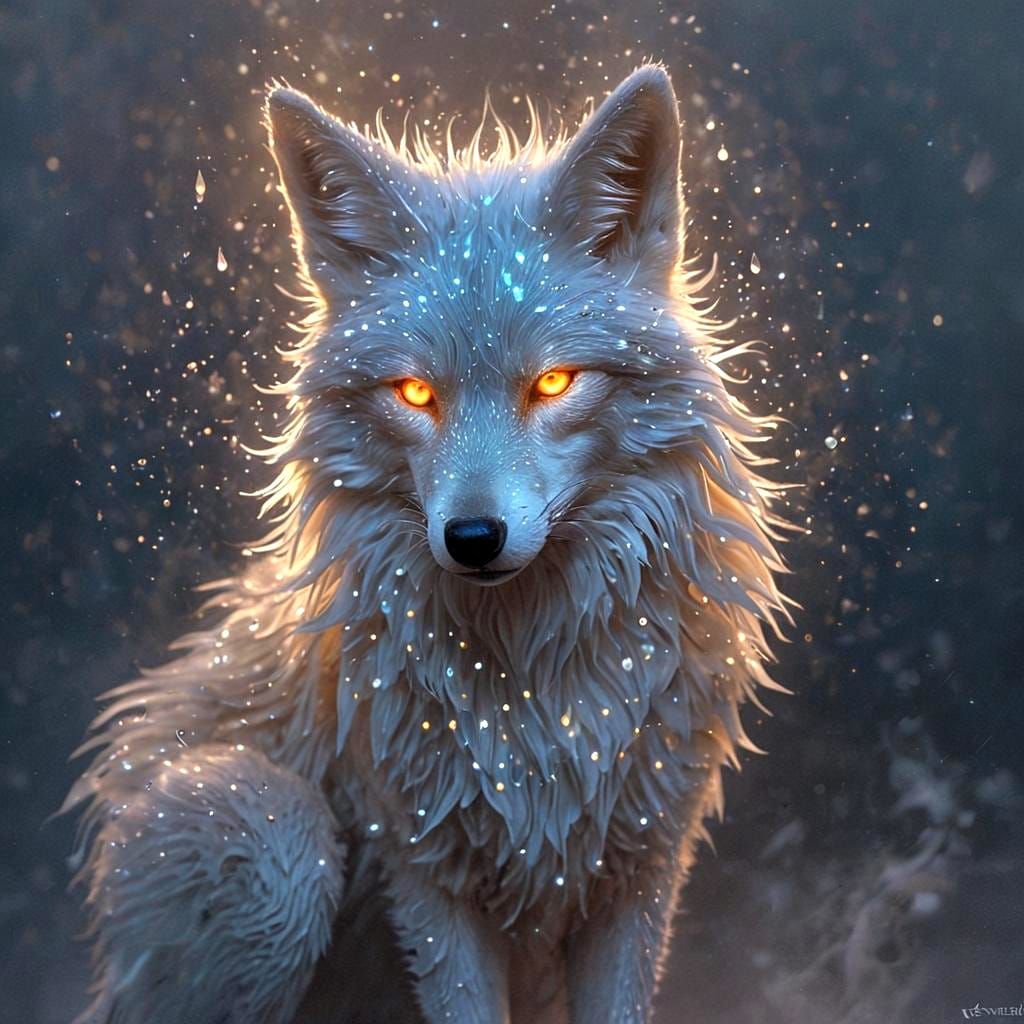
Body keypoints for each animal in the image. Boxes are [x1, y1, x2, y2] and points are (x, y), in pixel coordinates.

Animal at [66, 64, 790, 1024]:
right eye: (414, 393)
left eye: (553, 383)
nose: (474, 538)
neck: (533, 693)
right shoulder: (428, 879)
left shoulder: (637, 873)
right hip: (272, 842)